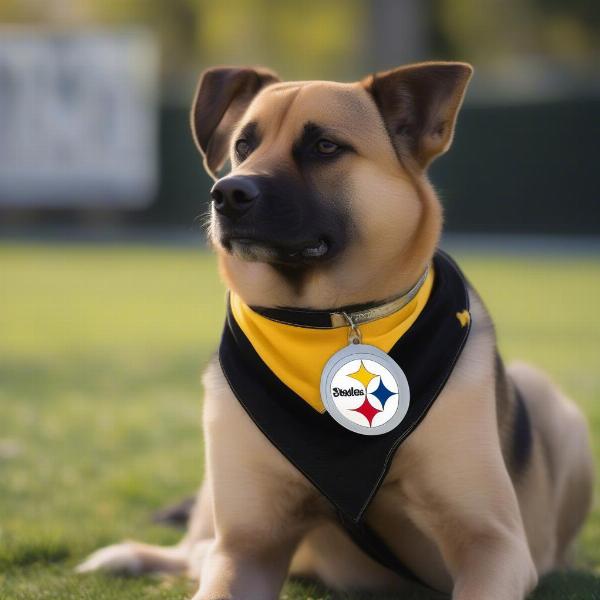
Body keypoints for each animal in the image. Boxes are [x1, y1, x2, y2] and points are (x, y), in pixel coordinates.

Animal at [77, 62, 592, 600]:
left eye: (325, 146)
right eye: (243, 145)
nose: (227, 194)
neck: (331, 319)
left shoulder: (492, 542)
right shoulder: (246, 547)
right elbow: (220, 568)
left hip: (553, 406)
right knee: (193, 551)